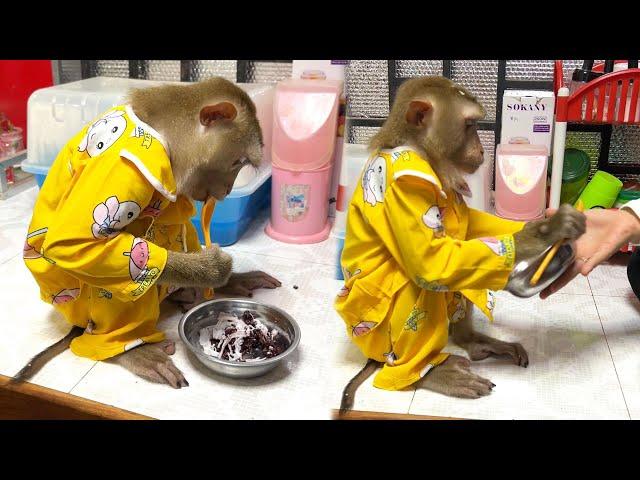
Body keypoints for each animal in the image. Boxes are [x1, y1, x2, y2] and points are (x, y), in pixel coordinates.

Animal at [15, 77, 282, 388]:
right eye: (236, 162)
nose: (227, 191)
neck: (161, 132)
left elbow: (179, 217)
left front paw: (224, 279)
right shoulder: (124, 166)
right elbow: (72, 244)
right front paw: (213, 270)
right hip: (85, 302)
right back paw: (127, 347)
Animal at [336, 76, 584, 408]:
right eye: (469, 125)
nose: (480, 149)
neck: (423, 152)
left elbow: (471, 226)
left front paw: (540, 223)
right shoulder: (403, 188)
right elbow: (433, 263)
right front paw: (548, 230)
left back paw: (474, 342)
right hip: (375, 338)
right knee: (423, 284)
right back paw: (425, 373)